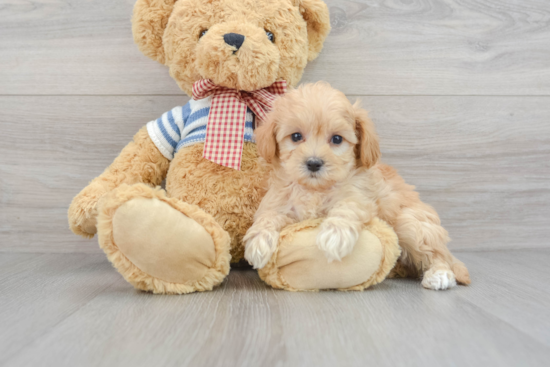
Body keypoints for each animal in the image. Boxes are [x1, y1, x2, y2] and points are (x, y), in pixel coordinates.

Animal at [246, 82, 474, 290]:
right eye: (295, 136)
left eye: (337, 139)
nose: (313, 163)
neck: (315, 189)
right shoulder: (280, 202)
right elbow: (268, 216)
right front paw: (258, 243)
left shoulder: (361, 196)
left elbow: (347, 207)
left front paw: (335, 236)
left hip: (411, 224)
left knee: (437, 254)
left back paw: (439, 274)